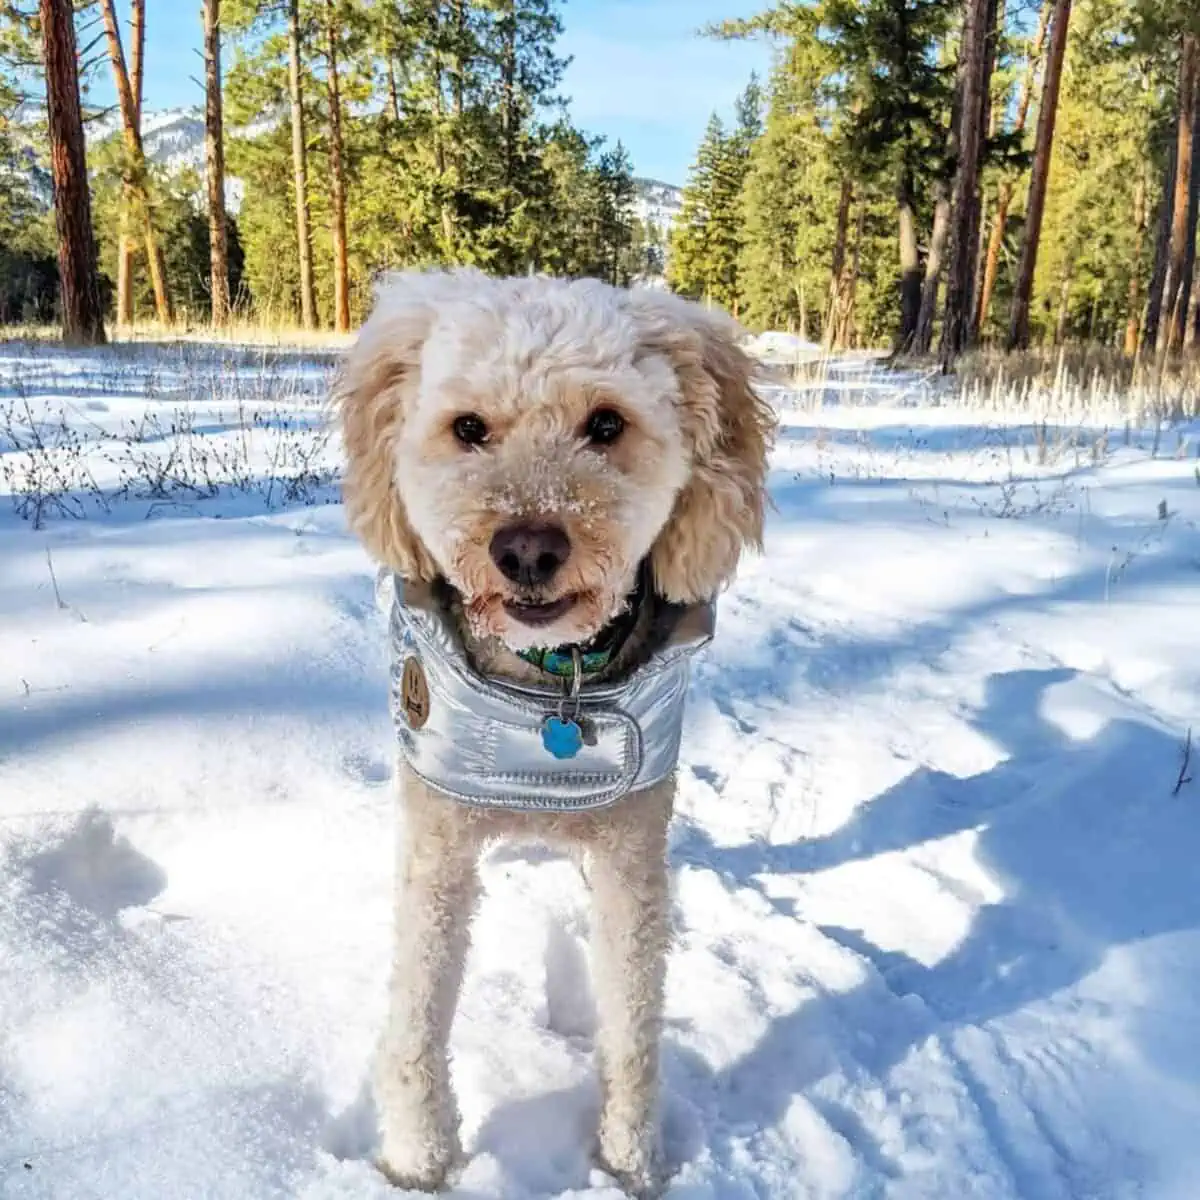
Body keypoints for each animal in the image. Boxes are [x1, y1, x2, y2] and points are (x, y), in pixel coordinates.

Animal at [333, 267, 772, 1195]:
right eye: (468, 427)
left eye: (606, 424)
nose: (528, 549)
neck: (549, 696)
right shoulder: (439, 838)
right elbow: (418, 1008)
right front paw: (418, 1158)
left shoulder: (632, 848)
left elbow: (634, 1021)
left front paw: (631, 1157)